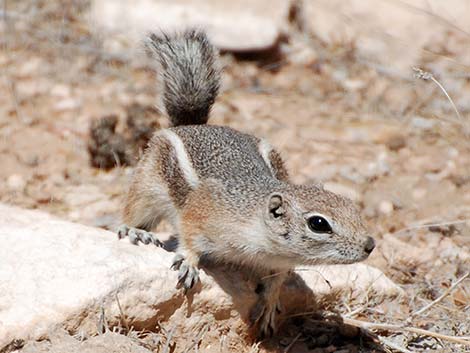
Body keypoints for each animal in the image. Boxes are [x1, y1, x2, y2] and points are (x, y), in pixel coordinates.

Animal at [117, 30, 374, 338]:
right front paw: (189, 262)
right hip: (147, 186)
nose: (370, 244)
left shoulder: (279, 262)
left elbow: (277, 281)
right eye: (318, 224)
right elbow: (189, 236)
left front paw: (269, 304)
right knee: (134, 211)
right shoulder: (202, 212)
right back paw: (136, 231)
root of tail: (192, 125)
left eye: (353, 208)